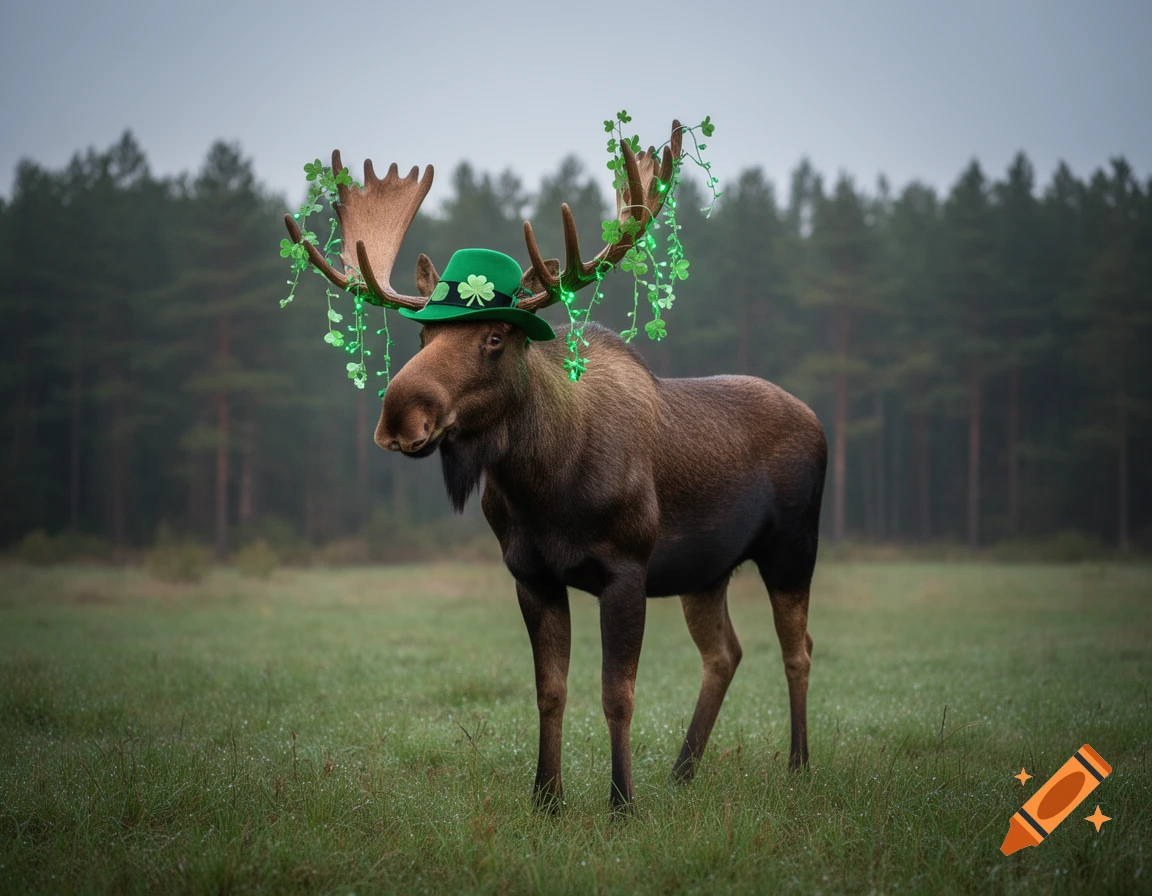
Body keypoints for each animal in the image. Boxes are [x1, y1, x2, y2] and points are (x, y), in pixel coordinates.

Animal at [283, 121, 827, 812]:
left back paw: (799, 767)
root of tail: (818, 422)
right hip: (706, 569)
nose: (399, 417)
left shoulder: (626, 568)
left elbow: (617, 694)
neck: (544, 485)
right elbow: (550, 691)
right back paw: (682, 772)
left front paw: (622, 802)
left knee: (797, 648)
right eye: (422, 337)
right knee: (725, 652)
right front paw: (546, 797)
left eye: (494, 337)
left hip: (793, 546)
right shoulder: (531, 574)